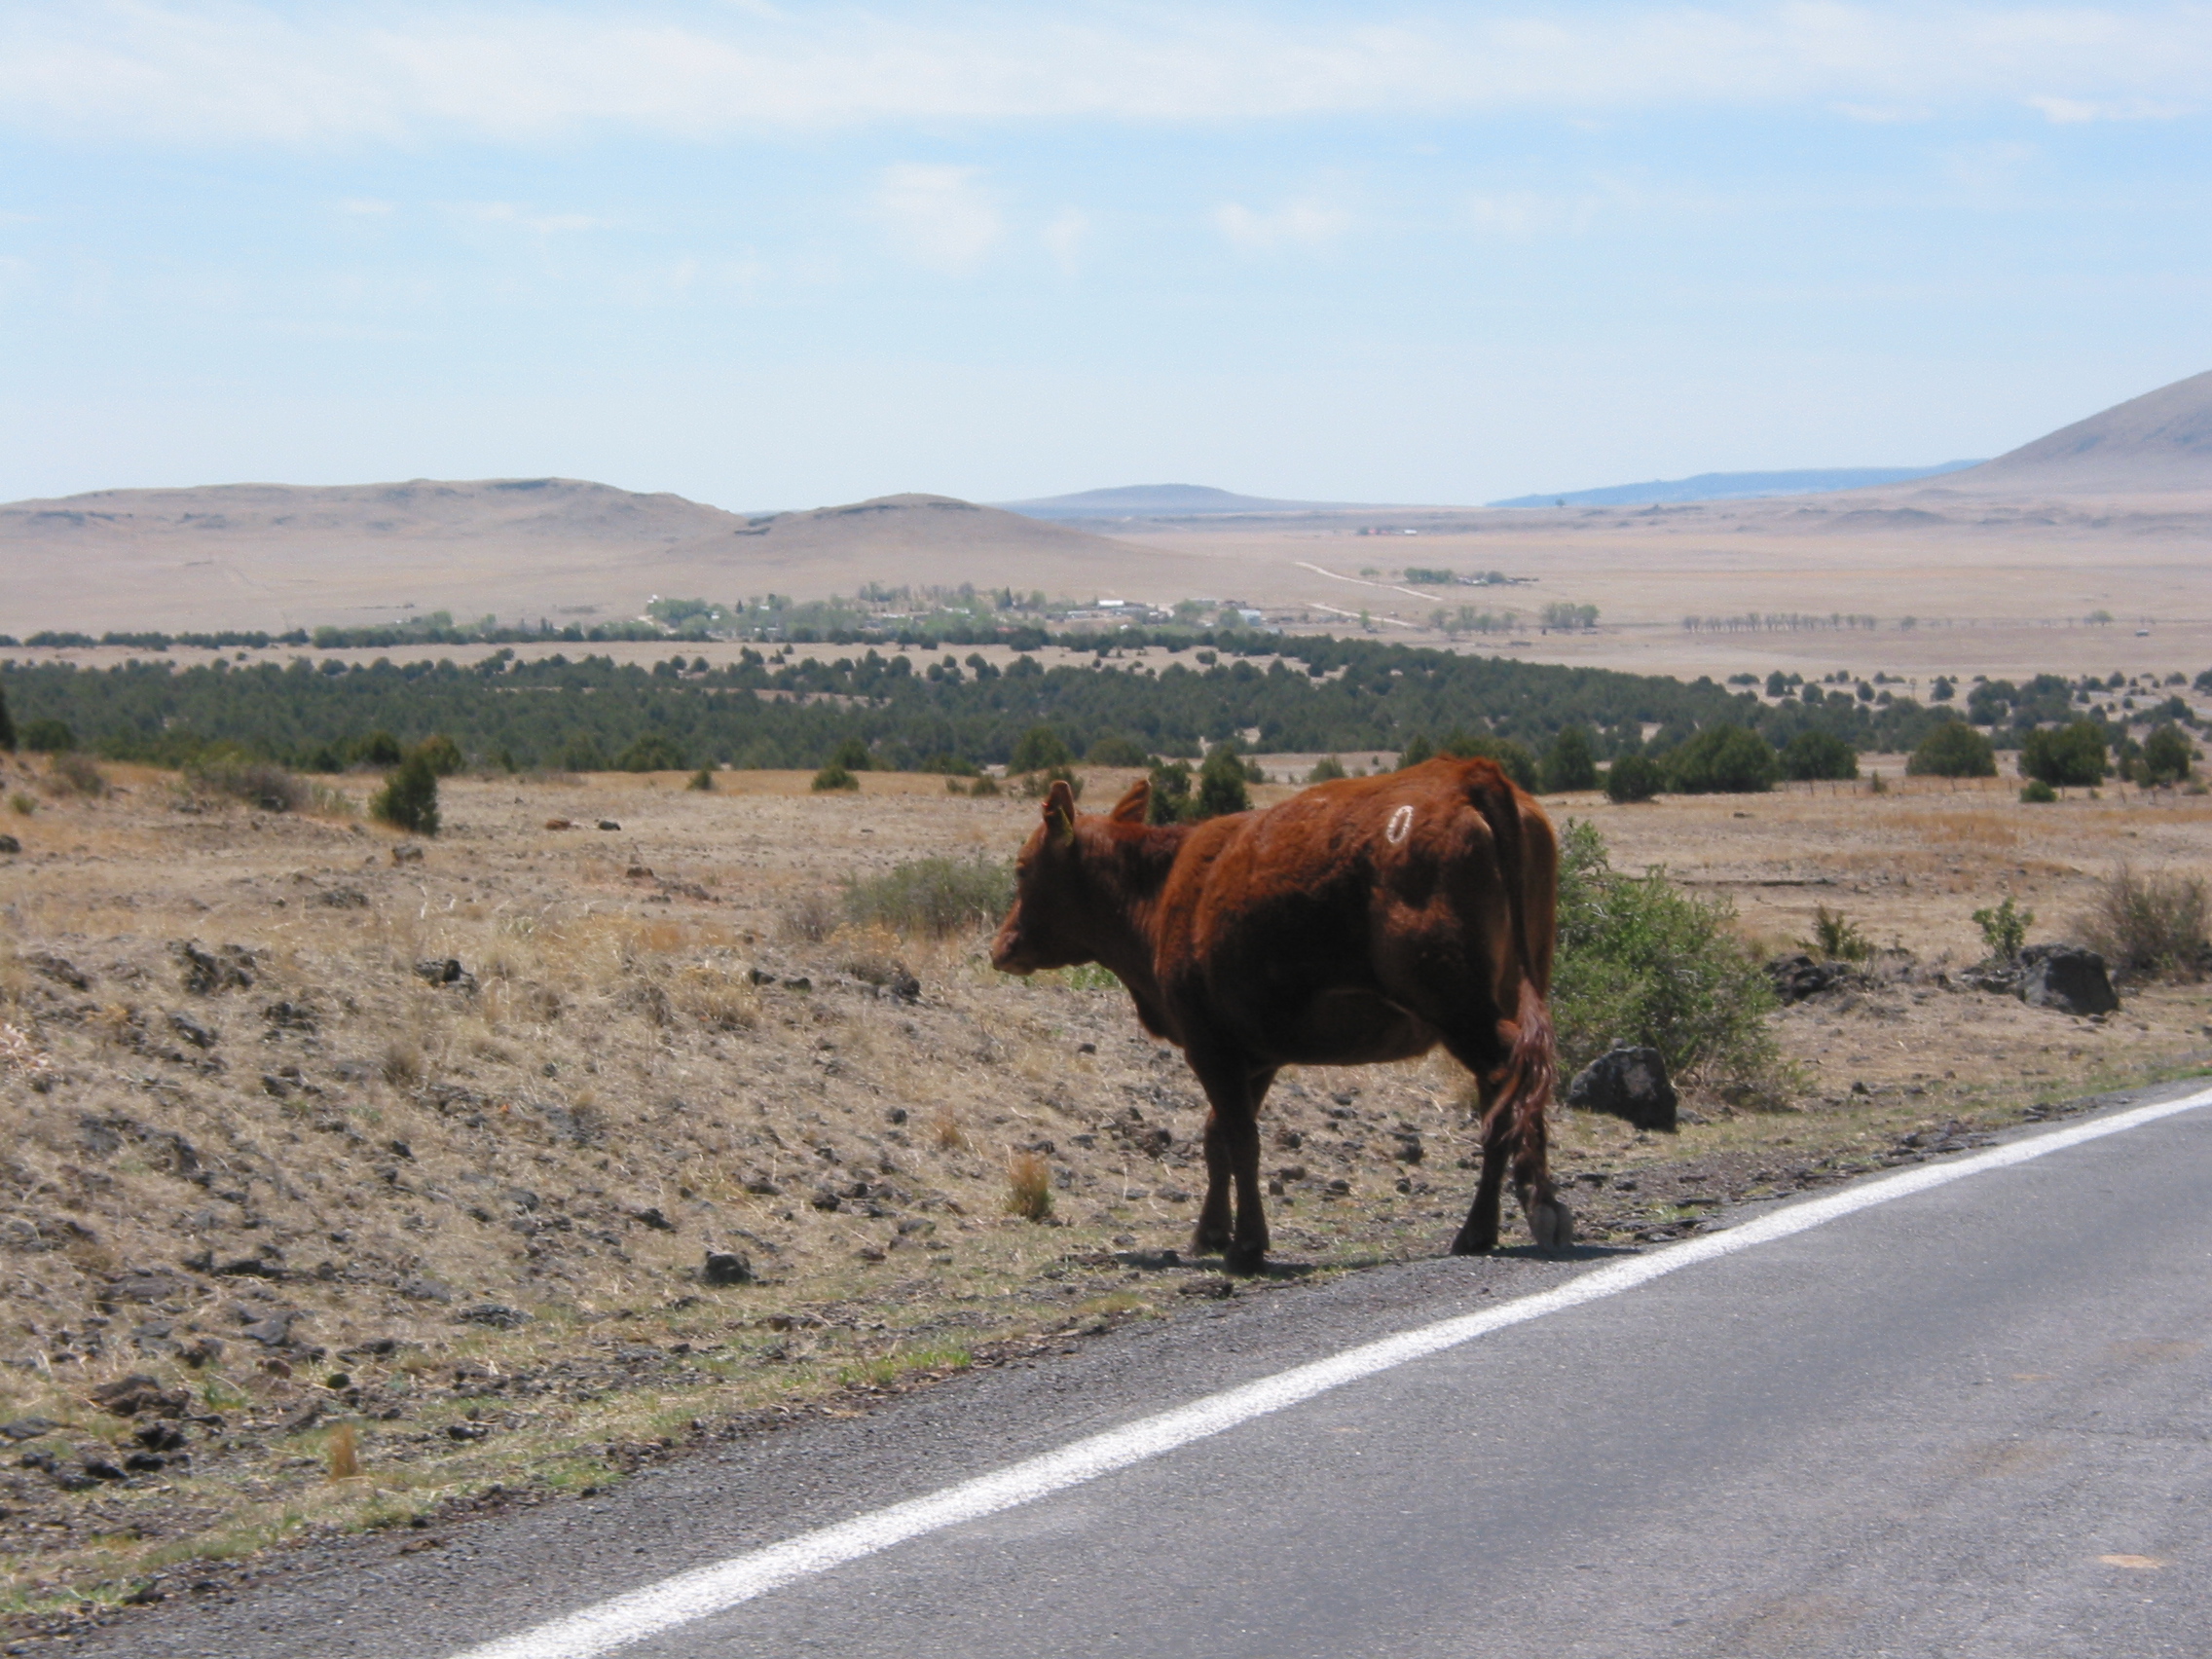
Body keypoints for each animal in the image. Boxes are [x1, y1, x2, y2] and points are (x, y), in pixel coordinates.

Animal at [986, 756, 1574, 1273]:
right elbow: (1216, 1138)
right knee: (1516, 1080)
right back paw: (1512, 1216)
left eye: (1021, 867)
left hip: (1454, 1002)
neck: (1159, 893)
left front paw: (1246, 1247)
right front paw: (1210, 1231)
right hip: (1511, 985)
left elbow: (1241, 1138)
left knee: (1508, 1076)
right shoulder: (1256, 1051)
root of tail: (1465, 772)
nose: (1000, 947)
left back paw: (1507, 1218)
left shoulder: (1210, 1043)